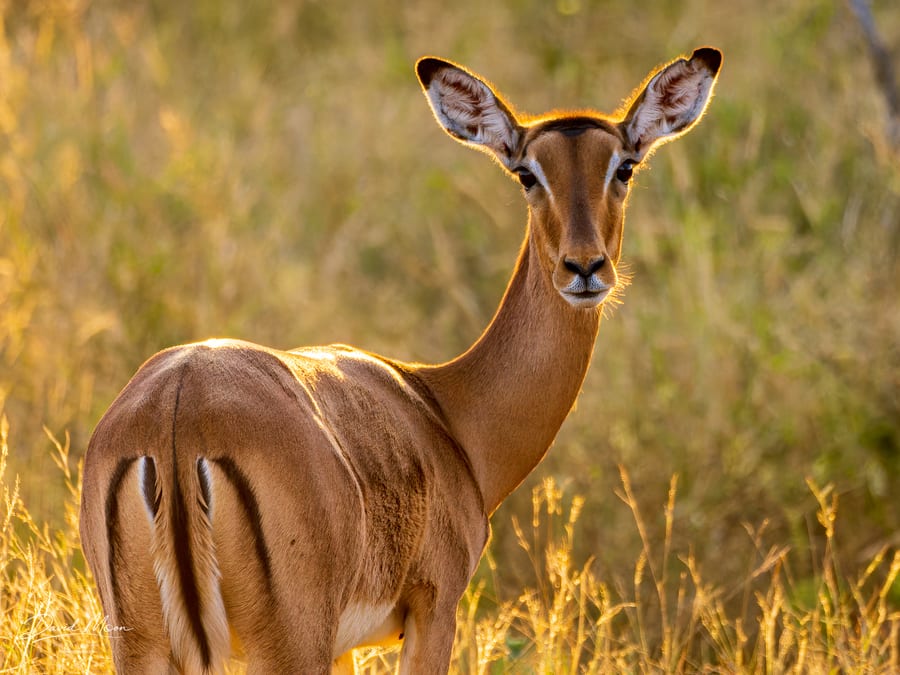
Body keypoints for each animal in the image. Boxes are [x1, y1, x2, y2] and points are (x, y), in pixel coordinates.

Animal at [80, 47, 721, 674]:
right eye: (526, 174)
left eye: (624, 166)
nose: (584, 268)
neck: (447, 413)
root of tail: (175, 415)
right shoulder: (434, 610)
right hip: (287, 647)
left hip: (144, 648)